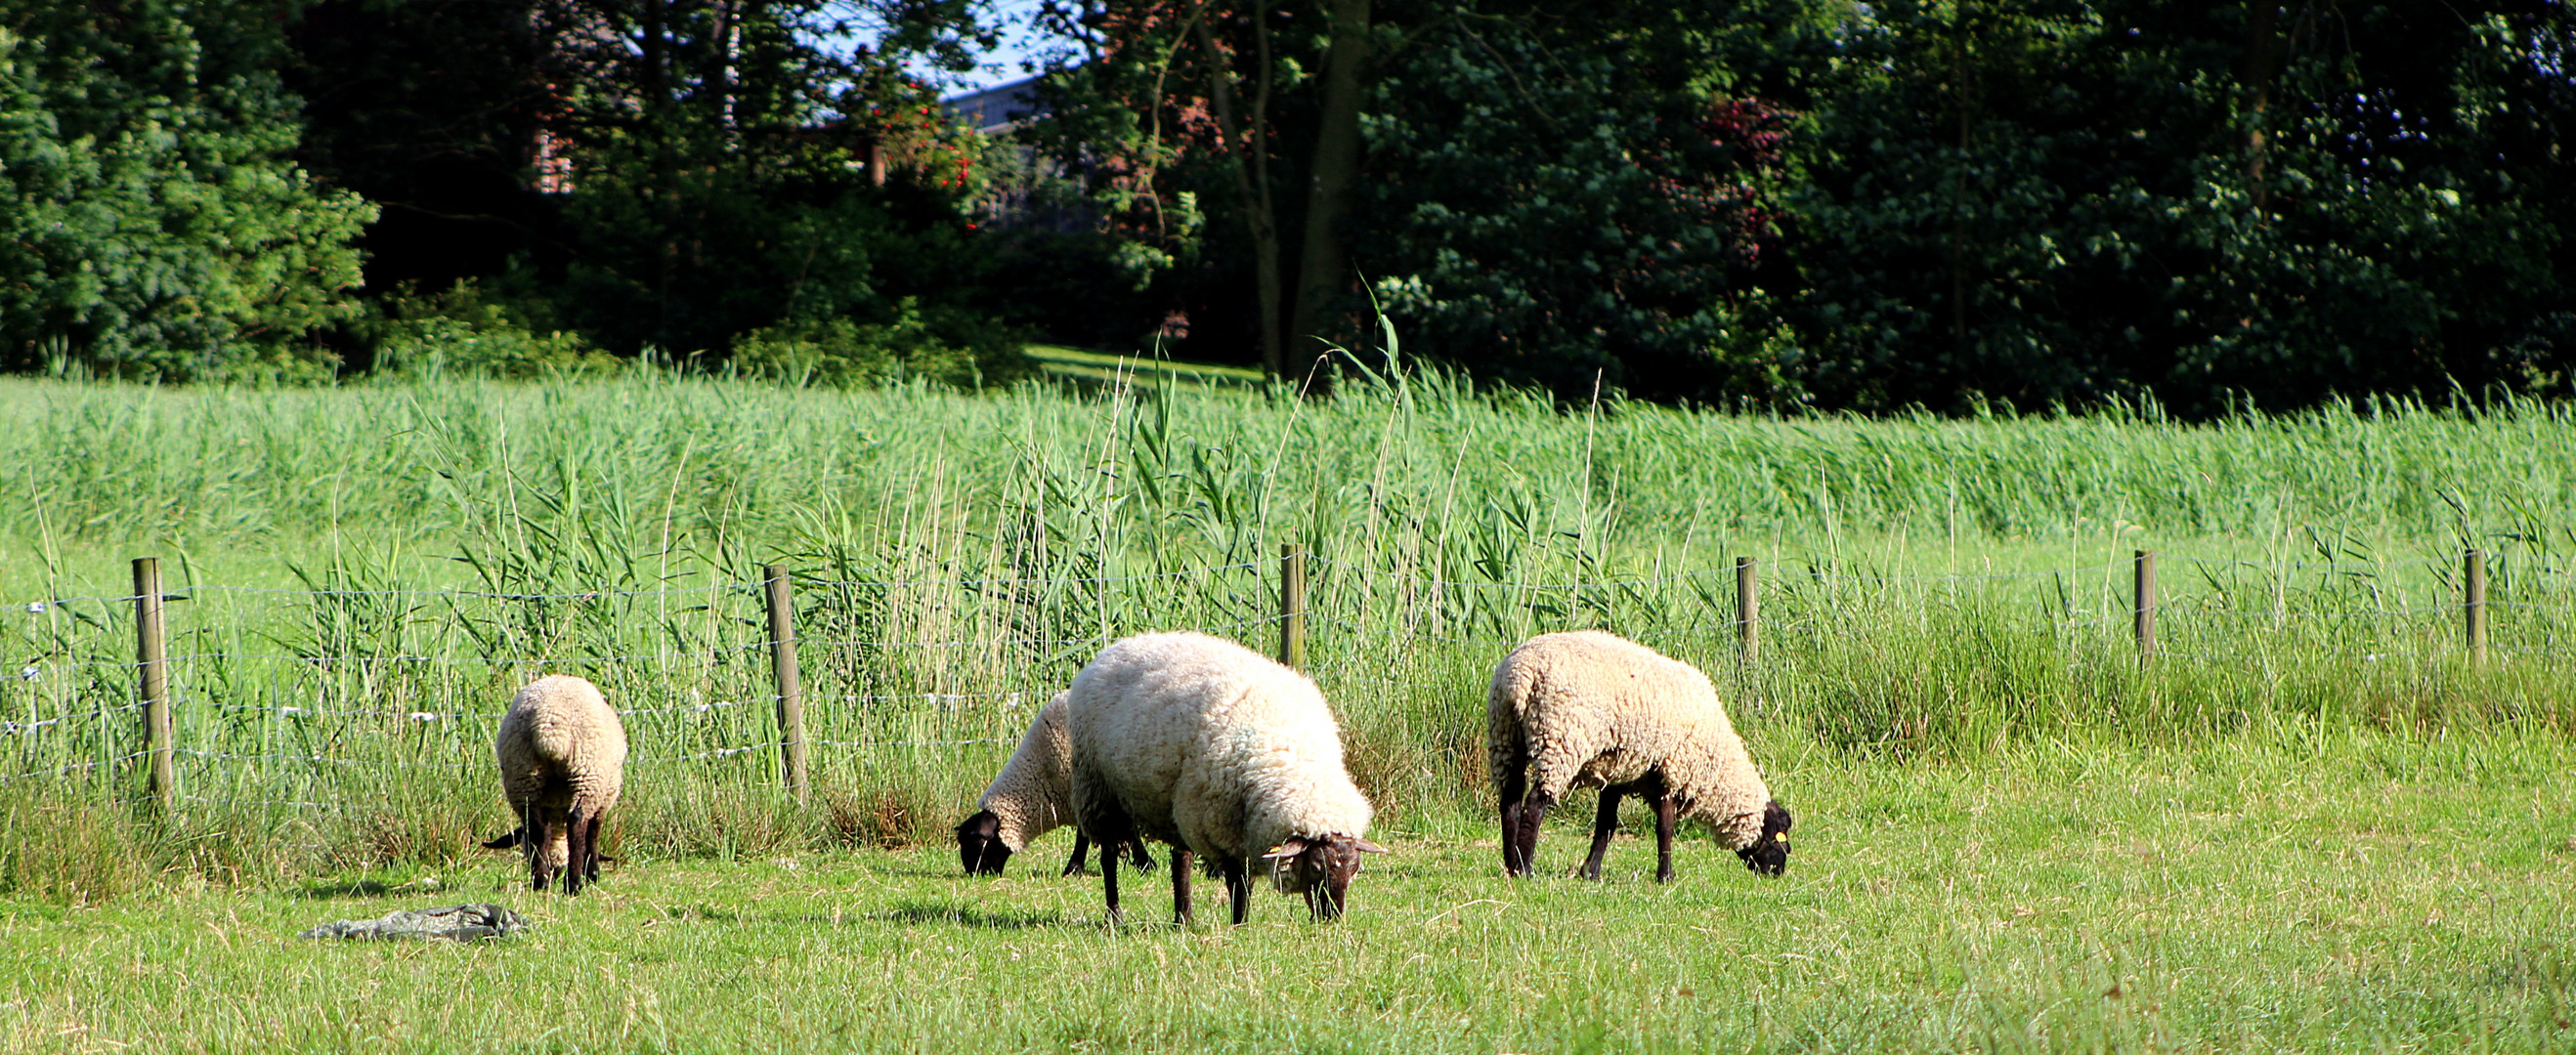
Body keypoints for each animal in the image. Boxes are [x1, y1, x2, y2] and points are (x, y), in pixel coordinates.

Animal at [484, 674, 628, 890]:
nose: (554, 872)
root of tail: (550, 727)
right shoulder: (606, 795)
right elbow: (593, 831)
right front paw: (592, 872)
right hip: (587, 773)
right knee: (577, 820)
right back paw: (573, 883)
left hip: (522, 774)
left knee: (536, 826)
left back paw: (540, 881)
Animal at [1066, 630, 1391, 926]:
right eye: (1316, 868)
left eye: (1354, 869)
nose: (1332, 919)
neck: (1293, 758)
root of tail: (1116, 647)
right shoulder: (1222, 828)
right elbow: (1239, 881)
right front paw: (1240, 923)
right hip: (1100, 791)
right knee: (1109, 857)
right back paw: (1115, 916)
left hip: (1177, 803)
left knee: (1180, 859)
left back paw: (1183, 918)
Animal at [1493, 635, 1792, 879]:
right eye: (1779, 837)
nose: (1777, 873)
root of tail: (1522, 674)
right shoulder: (1673, 770)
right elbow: (1665, 828)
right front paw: (1666, 877)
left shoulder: (1619, 772)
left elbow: (1606, 825)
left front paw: (1591, 872)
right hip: (1559, 739)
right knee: (1534, 805)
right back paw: (1525, 869)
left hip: (1506, 735)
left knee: (1509, 803)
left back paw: (1510, 864)